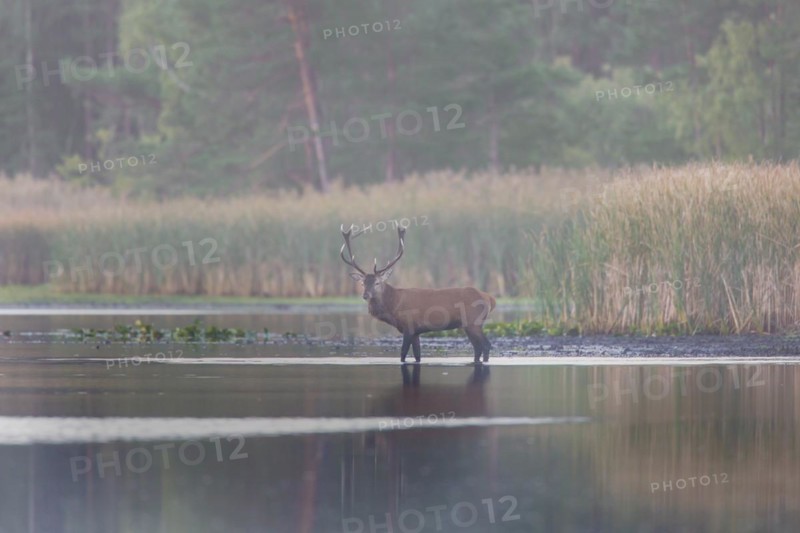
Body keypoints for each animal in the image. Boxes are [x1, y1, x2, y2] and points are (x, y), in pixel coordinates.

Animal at [339, 225, 496, 364]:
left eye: (377, 282)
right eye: (362, 283)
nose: (365, 295)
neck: (394, 306)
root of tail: (489, 298)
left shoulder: (409, 326)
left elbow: (403, 354)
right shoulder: (416, 332)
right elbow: (417, 355)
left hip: (473, 321)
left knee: (485, 345)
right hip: (470, 325)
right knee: (478, 348)